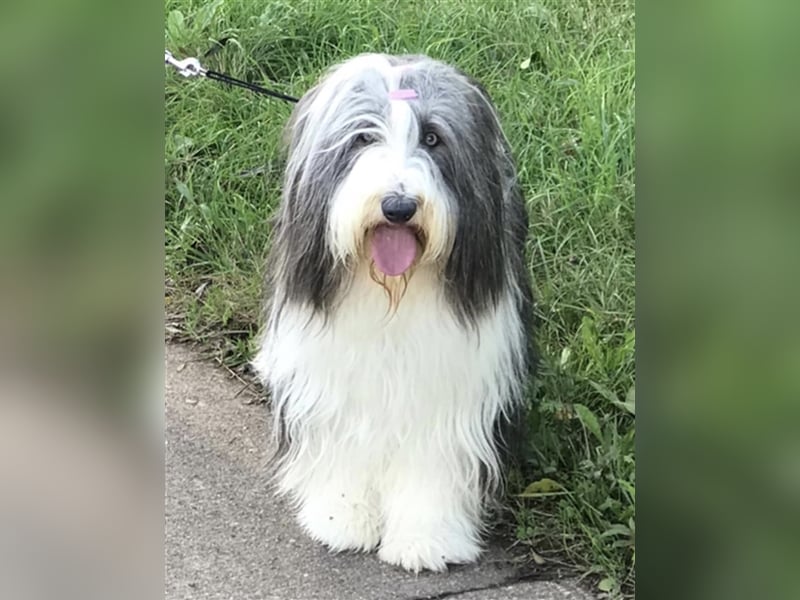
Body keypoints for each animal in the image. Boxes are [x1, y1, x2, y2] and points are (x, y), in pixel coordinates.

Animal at [253, 52, 536, 572]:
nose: (399, 206)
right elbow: (343, 442)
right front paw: (340, 517)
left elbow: (433, 457)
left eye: (433, 138)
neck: (391, 294)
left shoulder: (454, 380)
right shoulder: (333, 372)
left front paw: (427, 537)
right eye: (363, 137)